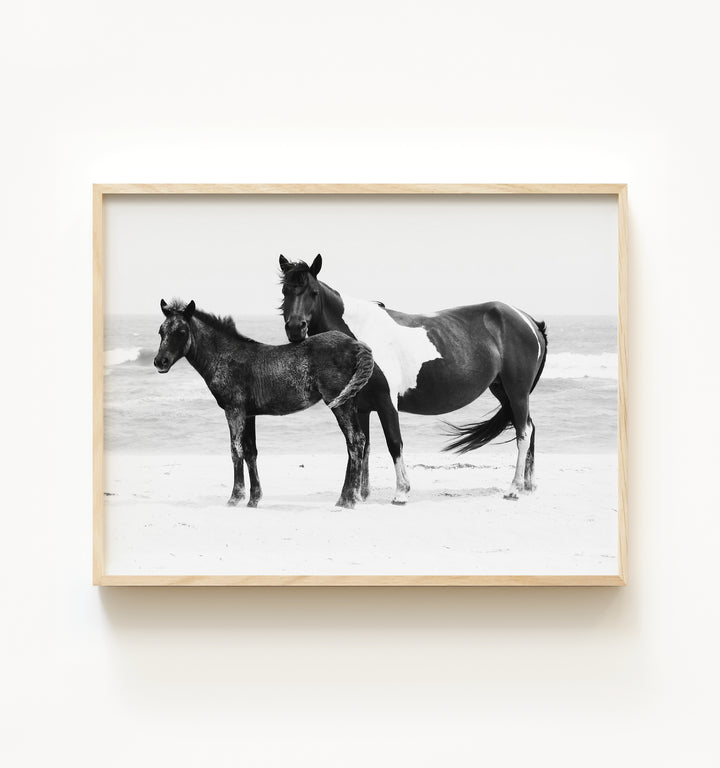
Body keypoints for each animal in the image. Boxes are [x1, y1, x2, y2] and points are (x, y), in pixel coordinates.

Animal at [153, 299, 374, 508]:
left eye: (182, 332)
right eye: (161, 331)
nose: (159, 362)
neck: (225, 357)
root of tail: (355, 344)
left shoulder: (234, 411)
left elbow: (236, 450)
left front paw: (235, 498)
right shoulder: (249, 414)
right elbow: (251, 452)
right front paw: (253, 499)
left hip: (340, 403)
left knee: (355, 441)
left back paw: (348, 500)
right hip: (348, 401)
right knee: (356, 441)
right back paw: (345, 497)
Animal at [279, 254, 548, 503]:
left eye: (313, 292)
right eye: (285, 291)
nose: (295, 329)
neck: (361, 336)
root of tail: (529, 321)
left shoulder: (387, 402)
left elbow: (394, 443)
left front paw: (401, 492)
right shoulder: (361, 406)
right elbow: (363, 445)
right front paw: (361, 494)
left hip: (517, 392)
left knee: (523, 432)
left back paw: (514, 489)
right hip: (503, 392)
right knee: (530, 428)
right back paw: (529, 486)